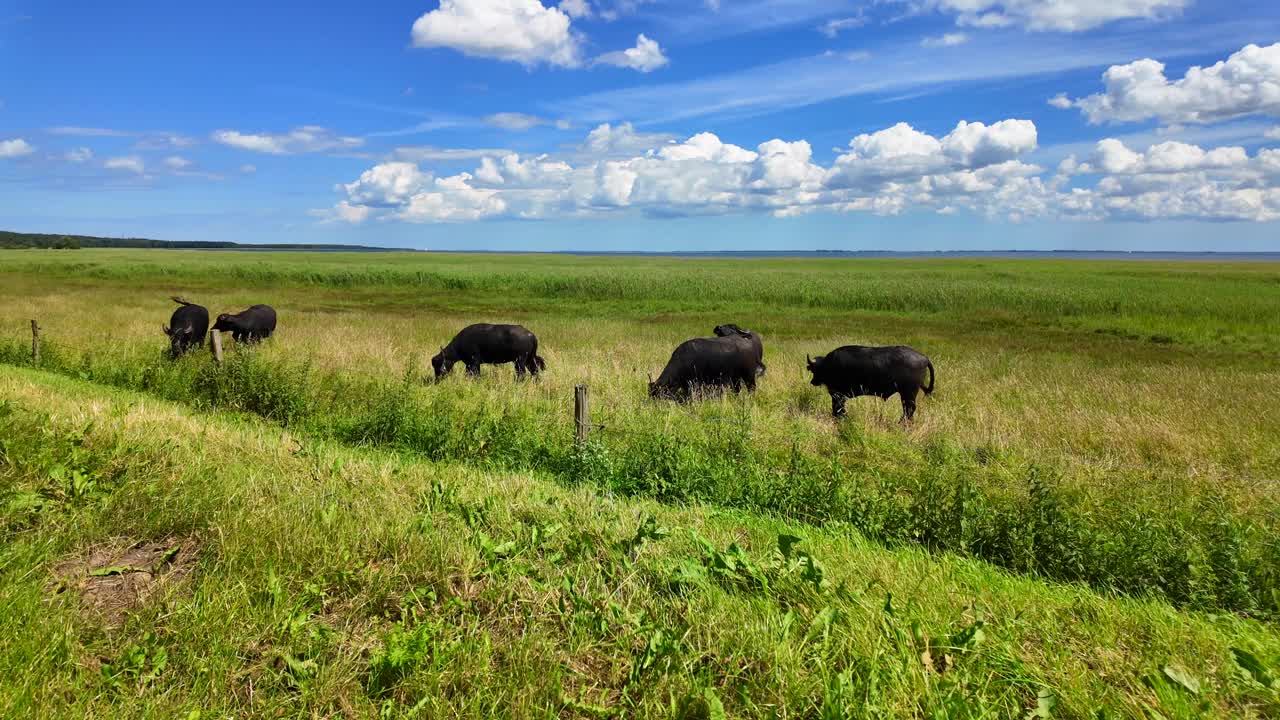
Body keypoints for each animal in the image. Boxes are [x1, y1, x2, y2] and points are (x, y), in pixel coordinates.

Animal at [803, 343, 936, 420]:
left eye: (815, 370)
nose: (812, 381)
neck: (828, 365)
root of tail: (924, 357)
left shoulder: (838, 395)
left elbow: (838, 408)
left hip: (908, 393)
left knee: (909, 409)